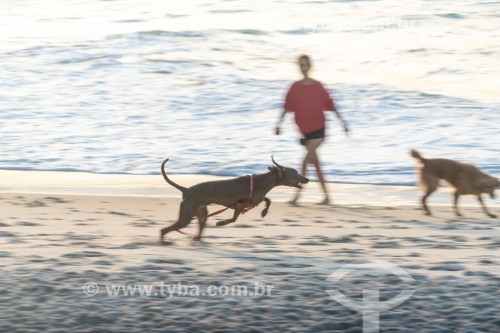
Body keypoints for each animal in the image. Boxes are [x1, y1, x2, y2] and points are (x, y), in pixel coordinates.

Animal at [160, 156, 308, 241]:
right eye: (296, 173)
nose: (307, 179)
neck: (264, 181)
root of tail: (186, 190)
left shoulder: (254, 200)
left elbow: (268, 200)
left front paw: (264, 212)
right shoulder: (239, 204)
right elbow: (233, 219)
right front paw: (221, 223)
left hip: (200, 212)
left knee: (200, 225)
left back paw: (197, 239)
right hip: (187, 215)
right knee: (164, 230)